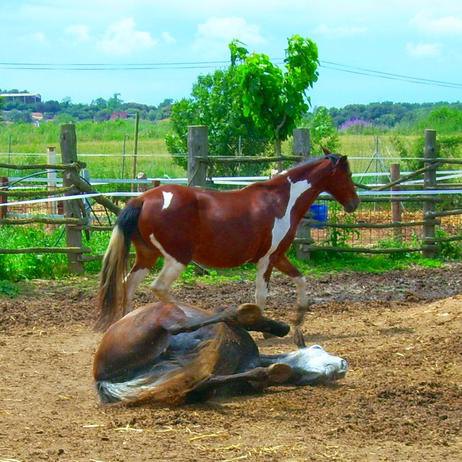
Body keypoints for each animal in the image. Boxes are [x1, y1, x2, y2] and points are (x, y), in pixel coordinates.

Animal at [93, 300, 346, 404]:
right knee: (178, 327)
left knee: (202, 383)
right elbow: (271, 326)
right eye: (318, 347)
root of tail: (101, 378)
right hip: (163, 314)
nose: (343, 366)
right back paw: (244, 310)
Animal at [95, 150, 360, 330]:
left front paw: (300, 315)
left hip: (148, 255)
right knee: (158, 288)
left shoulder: (278, 256)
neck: (282, 200)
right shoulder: (267, 259)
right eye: (347, 174)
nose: (354, 203)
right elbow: (261, 295)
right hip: (177, 258)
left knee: (128, 284)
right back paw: (189, 320)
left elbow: (301, 279)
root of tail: (142, 199)